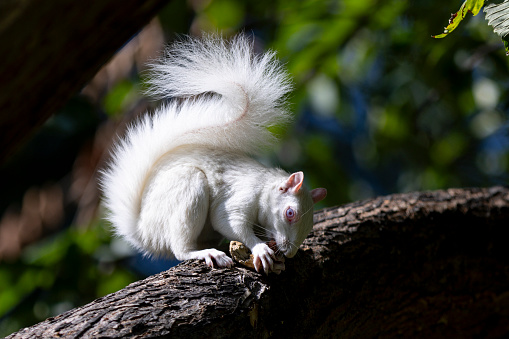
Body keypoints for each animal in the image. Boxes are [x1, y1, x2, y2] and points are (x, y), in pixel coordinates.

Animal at [101, 33, 328, 274]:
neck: (264, 186)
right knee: (181, 248)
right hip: (187, 189)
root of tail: (142, 232)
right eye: (290, 213)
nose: (290, 253)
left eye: (311, 224)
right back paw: (206, 253)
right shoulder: (241, 196)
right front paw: (260, 248)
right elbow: (227, 221)